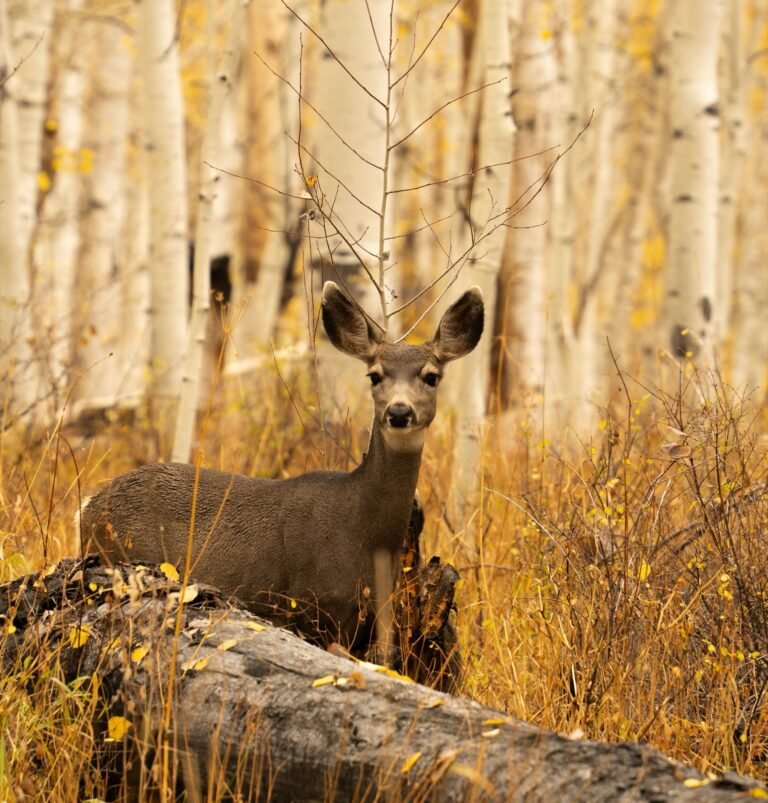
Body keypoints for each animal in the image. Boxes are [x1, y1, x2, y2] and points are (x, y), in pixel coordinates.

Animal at [80, 281, 484, 654]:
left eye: (431, 376)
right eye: (375, 375)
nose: (399, 412)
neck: (364, 532)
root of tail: (87, 507)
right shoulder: (316, 605)